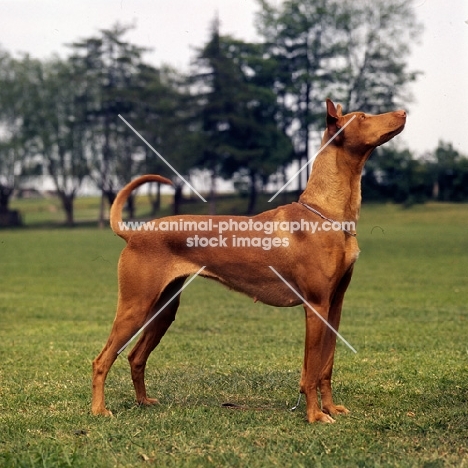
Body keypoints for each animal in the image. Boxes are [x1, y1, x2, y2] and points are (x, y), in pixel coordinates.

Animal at [92, 100, 406, 422]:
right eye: (363, 117)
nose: (403, 112)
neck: (327, 213)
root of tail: (134, 233)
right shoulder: (316, 306)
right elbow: (311, 371)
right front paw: (315, 415)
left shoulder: (335, 305)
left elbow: (325, 368)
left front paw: (329, 408)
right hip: (135, 307)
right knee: (102, 359)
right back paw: (98, 409)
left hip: (163, 310)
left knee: (135, 356)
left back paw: (143, 401)